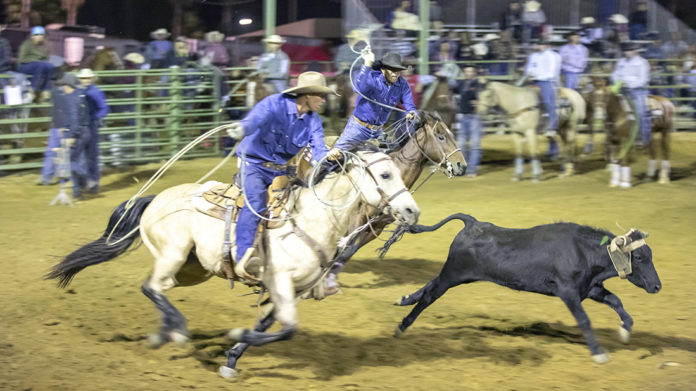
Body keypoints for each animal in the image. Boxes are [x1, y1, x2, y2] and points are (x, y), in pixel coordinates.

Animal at [49, 149, 422, 378]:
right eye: (385, 174)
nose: (412, 211)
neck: (313, 219)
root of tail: (156, 198)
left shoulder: (294, 288)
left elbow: (268, 325)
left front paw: (232, 357)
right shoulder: (281, 281)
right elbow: (287, 329)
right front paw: (236, 338)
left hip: (193, 269)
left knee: (155, 287)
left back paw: (161, 334)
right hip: (174, 253)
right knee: (153, 286)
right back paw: (177, 331)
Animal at [394, 214, 660, 364]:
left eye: (650, 254)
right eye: (638, 257)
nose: (657, 286)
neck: (582, 251)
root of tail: (473, 222)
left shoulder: (591, 288)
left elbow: (616, 302)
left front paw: (625, 331)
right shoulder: (568, 292)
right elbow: (584, 320)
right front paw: (599, 353)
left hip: (453, 275)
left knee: (429, 285)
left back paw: (404, 299)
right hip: (453, 274)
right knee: (430, 294)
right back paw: (402, 327)